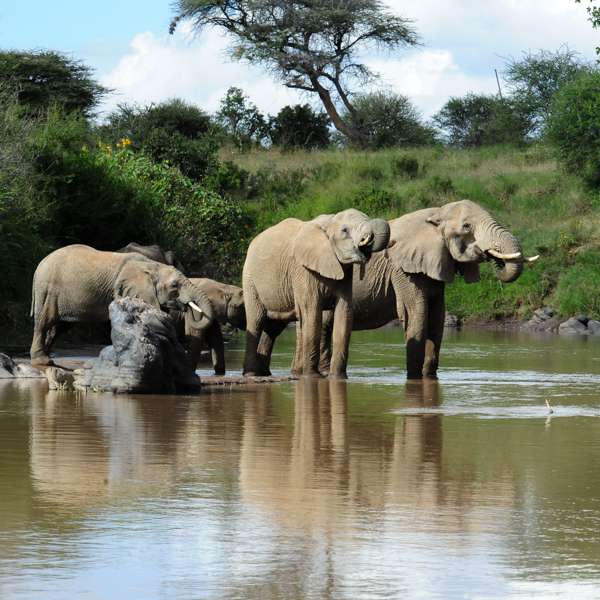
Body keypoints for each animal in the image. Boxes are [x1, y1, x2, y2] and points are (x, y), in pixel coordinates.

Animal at [29, 244, 216, 366]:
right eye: (175, 285)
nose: (187, 306)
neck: (150, 266)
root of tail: (40, 263)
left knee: (60, 327)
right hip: (48, 289)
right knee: (44, 321)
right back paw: (43, 361)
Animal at [241, 209, 392, 378]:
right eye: (345, 230)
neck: (328, 222)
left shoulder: (345, 275)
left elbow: (344, 312)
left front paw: (338, 378)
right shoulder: (303, 270)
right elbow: (311, 311)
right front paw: (312, 377)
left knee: (272, 328)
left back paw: (264, 373)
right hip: (250, 279)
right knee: (256, 321)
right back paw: (251, 374)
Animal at [316, 202, 536, 380]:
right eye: (466, 226)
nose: (494, 255)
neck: (435, 214)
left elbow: (437, 322)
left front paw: (428, 376)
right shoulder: (404, 270)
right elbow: (417, 317)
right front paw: (414, 378)